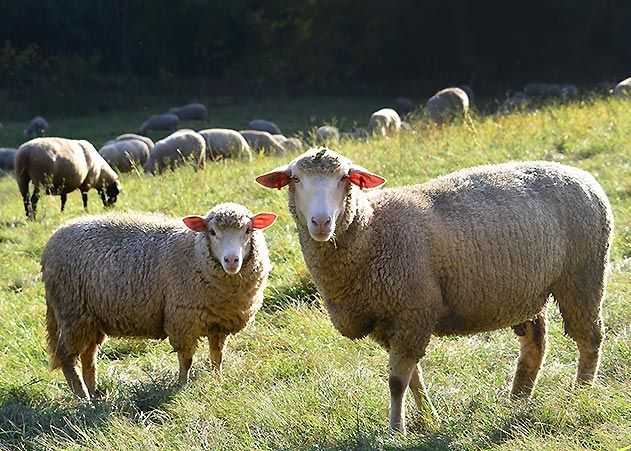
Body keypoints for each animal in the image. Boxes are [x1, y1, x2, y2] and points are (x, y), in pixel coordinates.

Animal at [40, 204, 276, 400]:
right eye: (212, 232)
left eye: (248, 230)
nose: (231, 260)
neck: (195, 254)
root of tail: (53, 238)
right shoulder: (182, 319)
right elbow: (186, 359)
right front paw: (182, 385)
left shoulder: (219, 323)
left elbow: (217, 355)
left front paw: (217, 379)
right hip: (72, 312)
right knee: (67, 357)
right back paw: (83, 397)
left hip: (92, 318)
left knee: (89, 357)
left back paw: (94, 392)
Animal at [256, 148, 612, 434]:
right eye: (295, 179)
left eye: (345, 178)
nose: (321, 222)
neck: (372, 228)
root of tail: (582, 175)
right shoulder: (390, 321)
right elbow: (413, 377)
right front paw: (428, 419)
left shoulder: (413, 310)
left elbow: (397, 381)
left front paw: (396, 430)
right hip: (526, 292)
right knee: (535, 345)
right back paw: (517, 400)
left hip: (583, 276)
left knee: (590, 338)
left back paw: (581, 394)